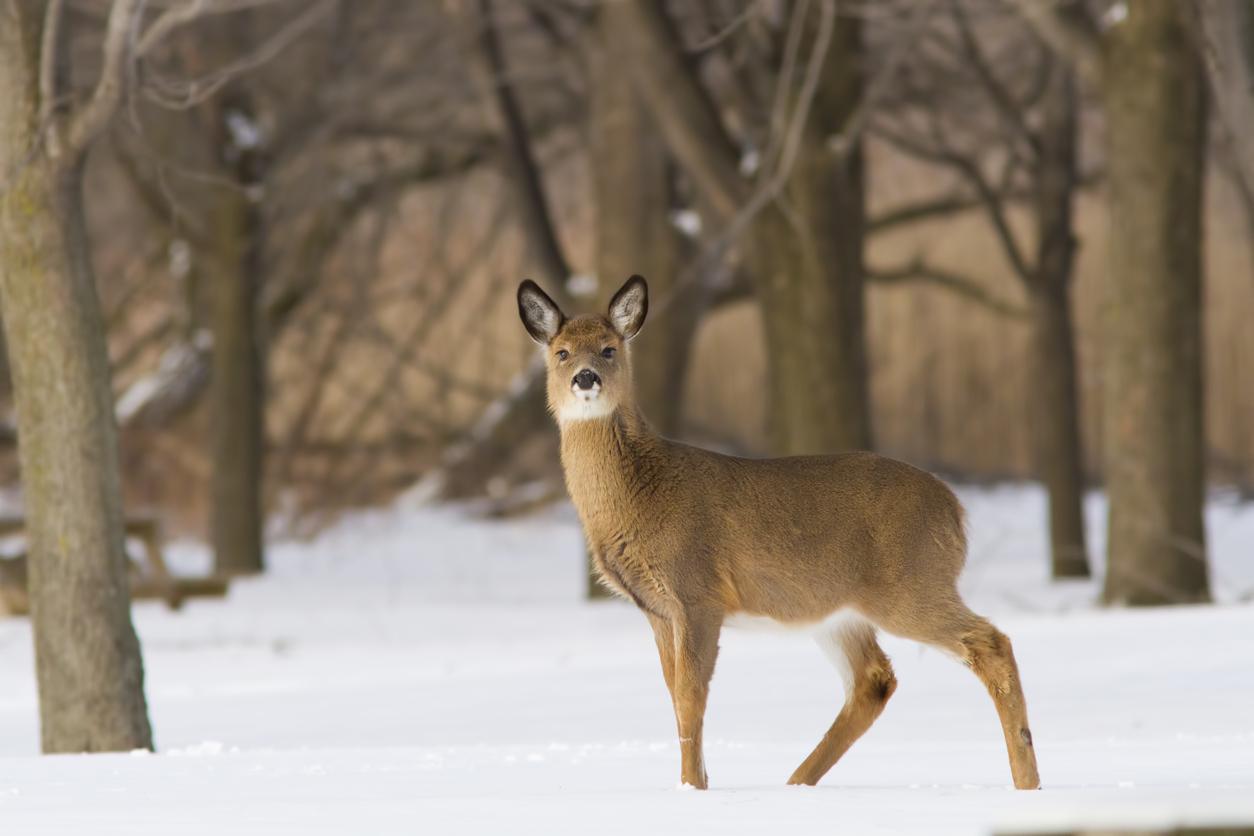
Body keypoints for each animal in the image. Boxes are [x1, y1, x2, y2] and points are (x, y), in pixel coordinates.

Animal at [514, 274, 1043, 792]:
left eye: (609, 348)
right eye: (562, 352)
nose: (586, 378)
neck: (642, 491)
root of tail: (956, 511)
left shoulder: (697, 592)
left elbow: (691, 696)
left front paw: (692, 790)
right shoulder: (657, 608)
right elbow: (674, 694)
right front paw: (694, 786)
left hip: (910, 585)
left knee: (991, 644)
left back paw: (1027, 784)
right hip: (841, 611)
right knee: (875, 679)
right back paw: (795, 783)